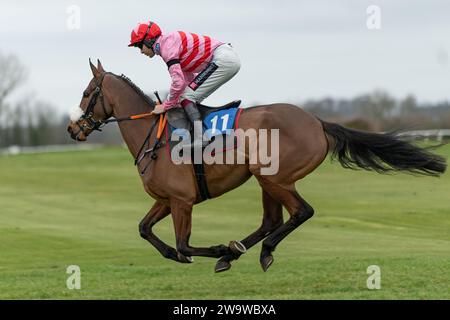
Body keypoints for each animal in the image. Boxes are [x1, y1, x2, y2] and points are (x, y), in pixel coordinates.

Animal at [67, 58, 446, 272]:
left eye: (86, 93)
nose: (73, 129)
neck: (154, 136)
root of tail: (317, 122)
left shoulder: (182, 201)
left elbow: (184, 244)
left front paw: (213, 249)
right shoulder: (166, 199)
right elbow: (145, 230)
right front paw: (188, 255)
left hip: (274, 177)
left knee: (301, 212)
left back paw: (249, 252)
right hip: (265, 180)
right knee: (271, 220)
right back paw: (238, 254)